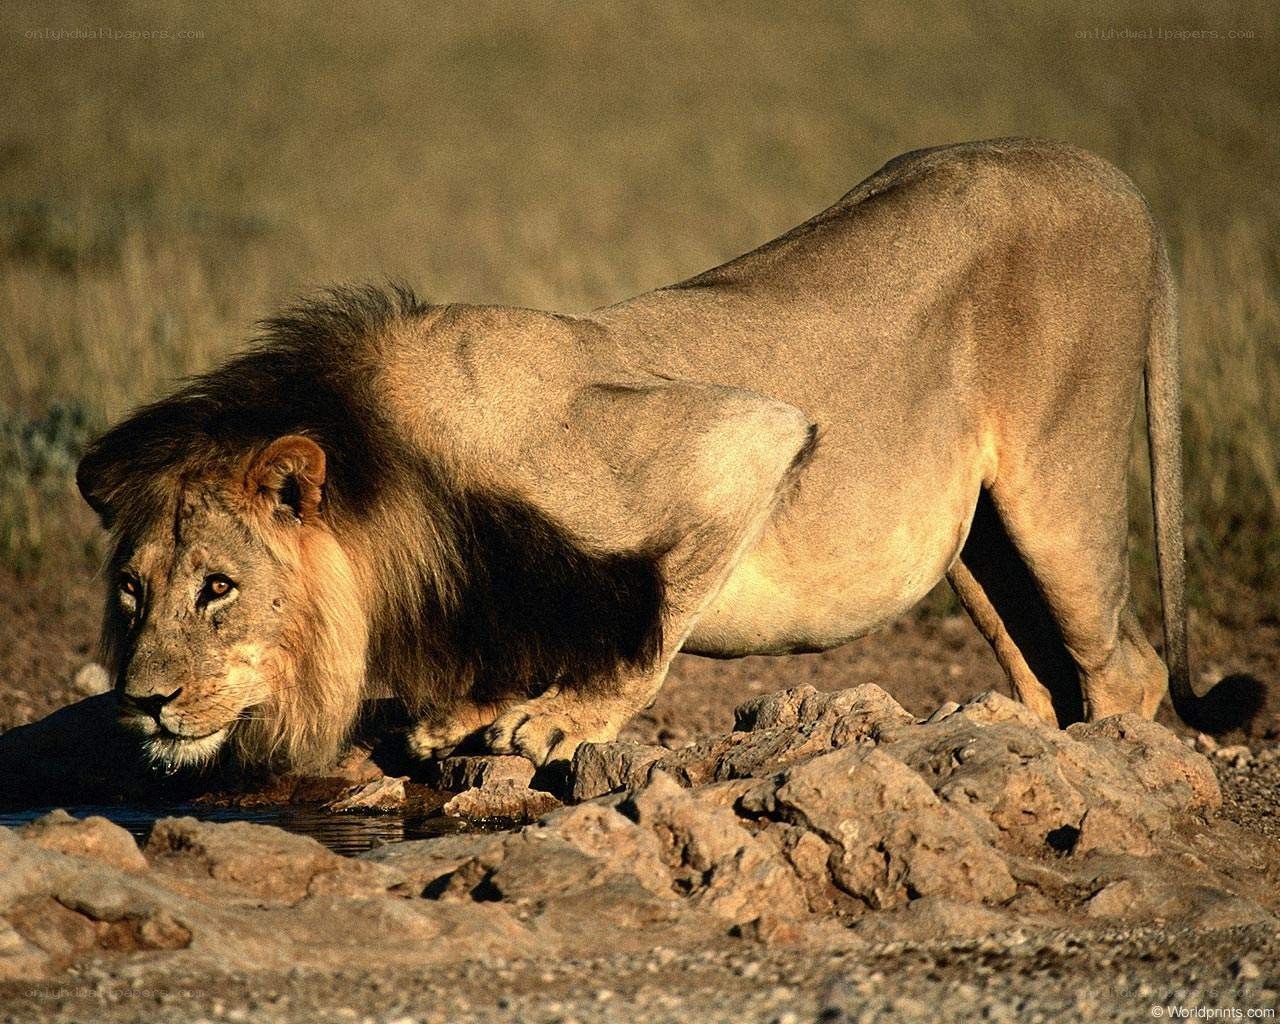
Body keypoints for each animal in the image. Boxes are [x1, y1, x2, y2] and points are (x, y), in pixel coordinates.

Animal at [77, 138, 1244, 772]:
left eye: (218, 587)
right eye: (130, 591)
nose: (142, 701)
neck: (394, 491)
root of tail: (1109, 175)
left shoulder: (737, 440)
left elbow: (645, 633)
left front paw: (559, 722)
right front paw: (468, 713)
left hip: (1059, 484)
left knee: (1126, 666)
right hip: (979, 543)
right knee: (1044, 670)